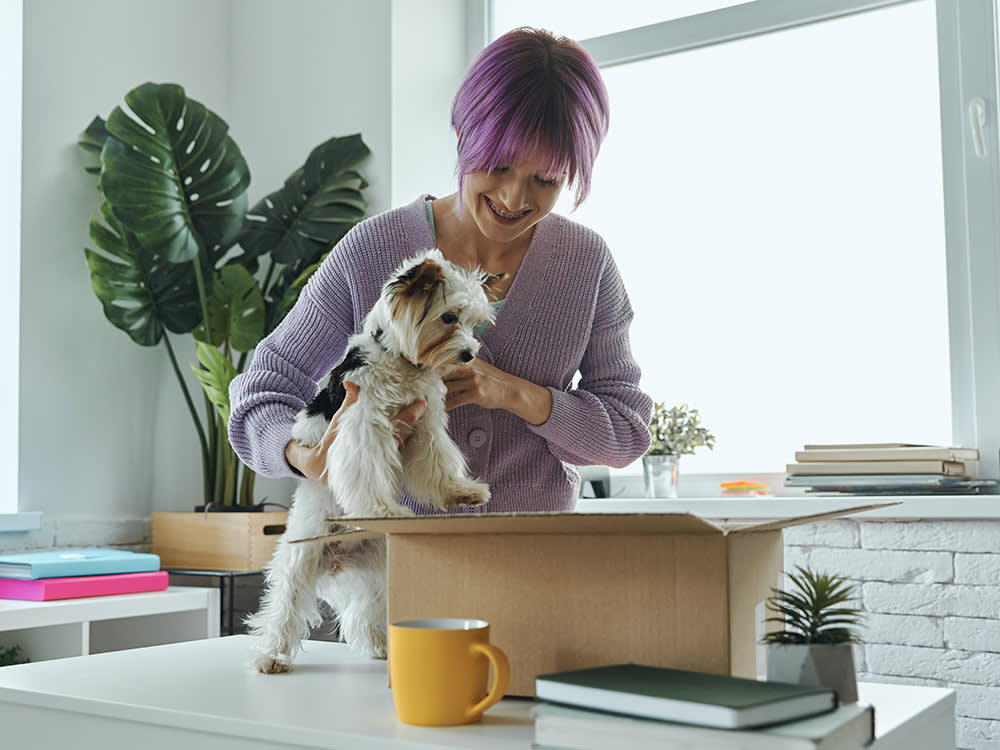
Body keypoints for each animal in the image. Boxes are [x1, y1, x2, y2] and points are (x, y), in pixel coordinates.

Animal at [246, 248, 496, 676]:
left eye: (472, 322)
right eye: (449, 317)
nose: (469, 354)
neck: (401, 360)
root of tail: (339, 559)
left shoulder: (422, 427)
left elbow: (439, 463)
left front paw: (460, 492)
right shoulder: (363, 421)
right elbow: (367, 470)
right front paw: (382, 509)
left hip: (383, 567)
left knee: (364, 611)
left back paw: (380, 646)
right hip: (301, 560)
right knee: (285, 607)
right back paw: (272, 656)